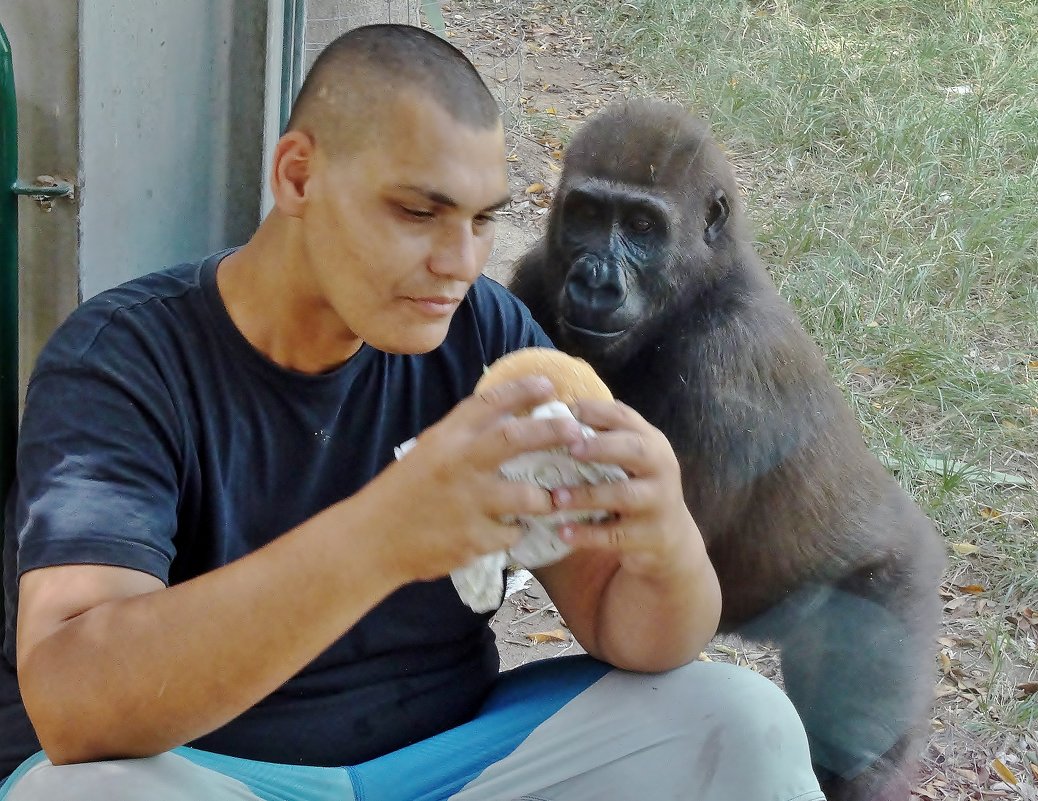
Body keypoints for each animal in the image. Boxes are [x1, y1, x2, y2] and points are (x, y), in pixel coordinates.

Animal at [510, 98, 950, 801]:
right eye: (586, 215)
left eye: (642, 226)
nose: (596, 282)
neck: (702, 288)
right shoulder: (534, 275)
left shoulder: (726, 369)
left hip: (894, 587)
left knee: (859, 744)